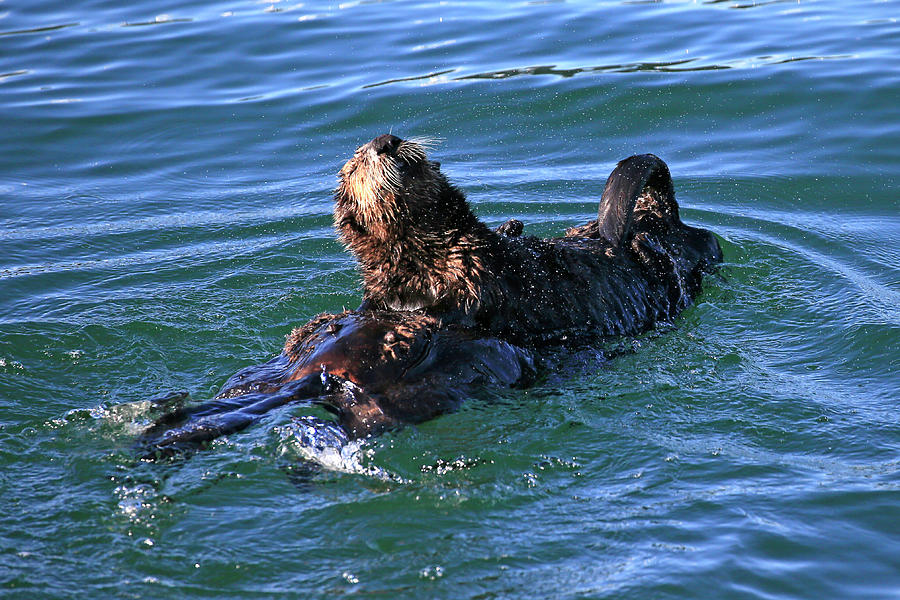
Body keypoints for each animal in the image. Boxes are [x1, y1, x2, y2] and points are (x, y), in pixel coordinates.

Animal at [334, 134, 720, 344]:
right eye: (356, 165)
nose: (386, 142)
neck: (427, 256)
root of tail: (656, 213)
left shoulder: (475, 271)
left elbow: (466, 307)